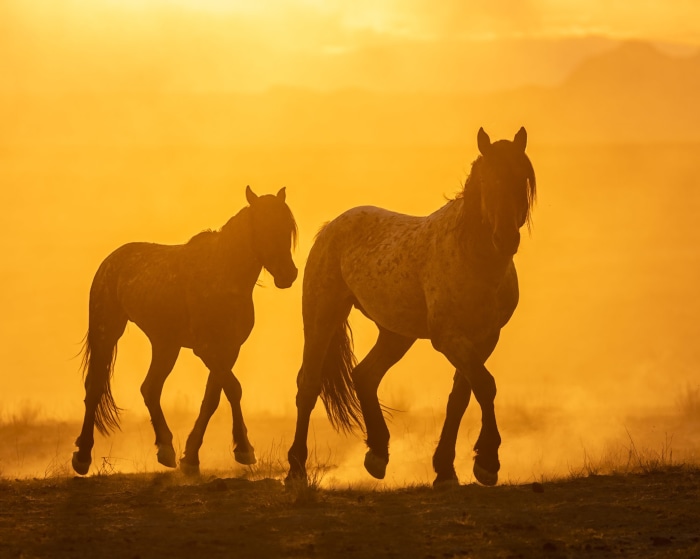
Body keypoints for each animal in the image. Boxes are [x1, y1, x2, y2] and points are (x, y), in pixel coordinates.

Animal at [72, 186, 298, 476]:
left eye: (287, 227)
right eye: (263, 225)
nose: (288, 274)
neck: (223, 273)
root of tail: (111, 260)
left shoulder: (229, 349)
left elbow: (213, 398)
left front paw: (191, 458)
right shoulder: (207, 349)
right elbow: (233, 389)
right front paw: (244, 449)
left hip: (166, 345)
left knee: (150, 388)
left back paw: (166, 449)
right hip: (107, 332)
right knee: (95, 387)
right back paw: (82, 456)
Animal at [286, 128, 536, 486]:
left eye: (521, 179)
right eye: (487, 181)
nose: (505, 239)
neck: (474, 259)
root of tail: (331, 226)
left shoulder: (486, 338)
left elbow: (462, 396)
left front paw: (446, 469)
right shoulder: (449, 338)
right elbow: (485, 386)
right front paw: (488, 462)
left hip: (396, 334)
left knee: (365, 375)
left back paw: (378, 454)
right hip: (322, 316)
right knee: (308, 385)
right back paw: (295, 468)